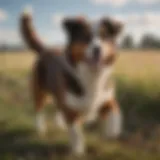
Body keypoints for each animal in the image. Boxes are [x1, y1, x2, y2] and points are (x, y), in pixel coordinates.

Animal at [20, 9, 122, 155]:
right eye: (85, 37)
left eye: (104, 37)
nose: (97, 49)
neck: (91, 75)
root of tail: (46, 50)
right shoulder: (71, 109)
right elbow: (75, 131)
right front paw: (78, 151)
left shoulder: (105, 96)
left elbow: (115, 109)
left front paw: (112, 131)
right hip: (39, 92)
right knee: (38, 110)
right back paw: (40, 128)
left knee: (58, 107)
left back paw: (60, 123)